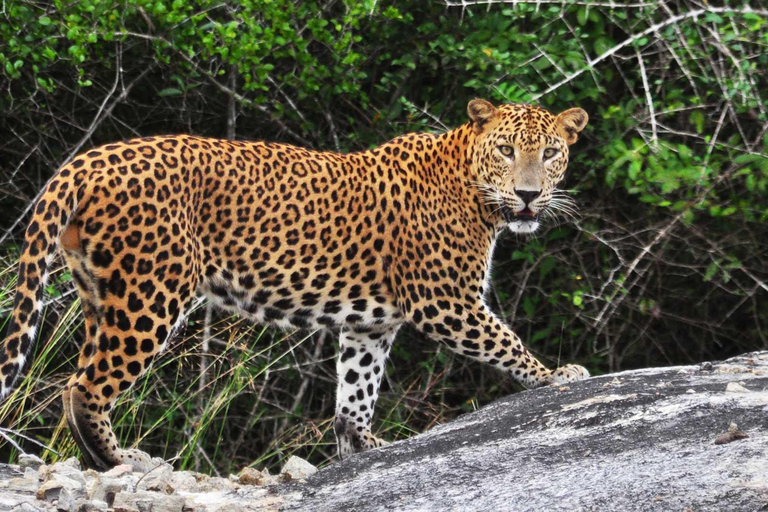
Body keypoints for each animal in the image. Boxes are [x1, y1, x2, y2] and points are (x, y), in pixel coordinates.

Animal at [1, 98, 588, 470]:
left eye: (550, 153)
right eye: (507, 150)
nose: (529, 195)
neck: (475, 190)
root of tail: (88, 159)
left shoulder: (371, 325)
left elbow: (356, 390)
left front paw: (363, 445)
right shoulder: (445, 300)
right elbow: (505, 341)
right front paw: (556, 375)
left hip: (101, 295)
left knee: (79, 376)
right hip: (152, 291)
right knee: (86, 387)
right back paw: (116, 459)